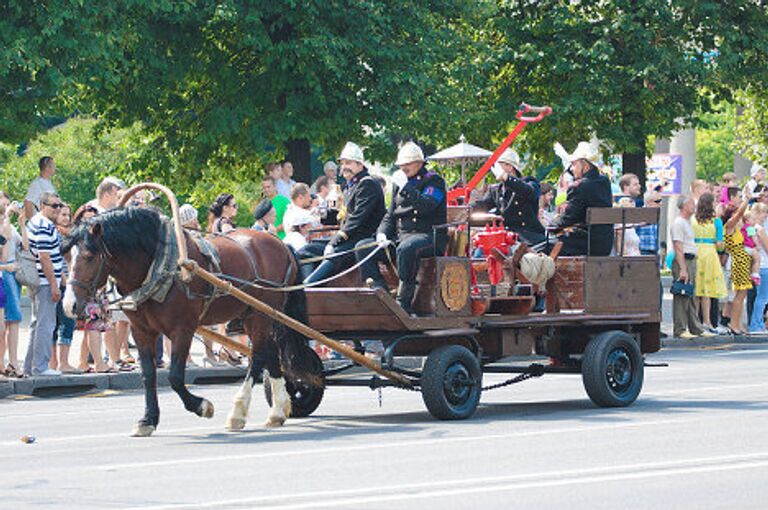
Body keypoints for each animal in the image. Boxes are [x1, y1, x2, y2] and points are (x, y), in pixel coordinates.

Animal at [61, 207, 316, 438]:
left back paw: (238, 412)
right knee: (270, 354)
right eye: (65, 256)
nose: (69, 305)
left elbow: (174, 376)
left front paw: (202, 406)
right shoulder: (141, 330)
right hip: (254, 313)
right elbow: (148, 375)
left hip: (262, 314)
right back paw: (278, 411)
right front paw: (148, 420)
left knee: (260, 357)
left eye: (89, 256)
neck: (159, 265)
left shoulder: (182, 328)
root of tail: (280, 244)